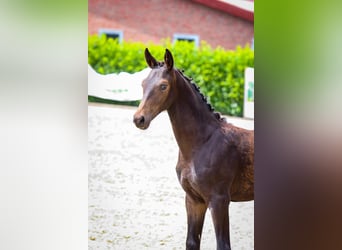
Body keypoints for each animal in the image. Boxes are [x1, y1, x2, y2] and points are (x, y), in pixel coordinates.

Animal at [134, 47, 254, 249]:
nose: (139, 119)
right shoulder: (194, 199)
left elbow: (223, 244)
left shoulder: (219, 200)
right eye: (143, 83)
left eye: (163, 86)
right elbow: (191, 242)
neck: (202, 143)